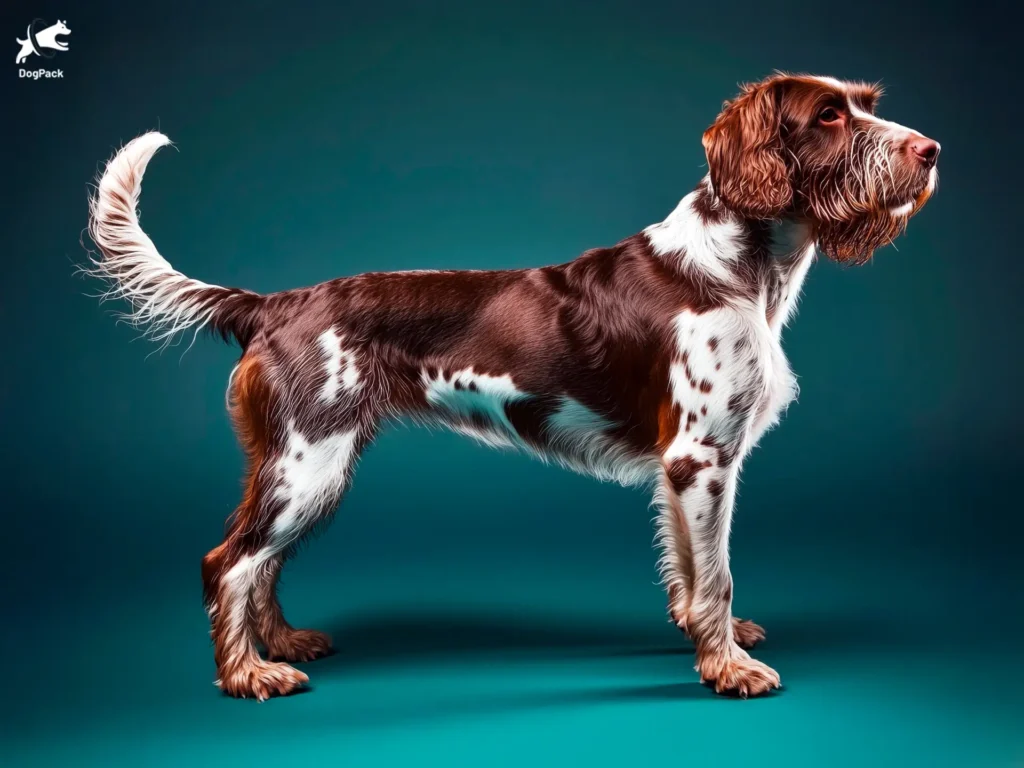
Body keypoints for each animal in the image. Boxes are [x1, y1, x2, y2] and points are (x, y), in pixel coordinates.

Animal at [86, 75, 937, 700]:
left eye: (868, 102)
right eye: (828, 114)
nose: (930, 150)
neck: (737, 266)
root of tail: (275, 304)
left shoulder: (685, 468)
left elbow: (691, 571)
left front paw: (710, 643)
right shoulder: (701, 457)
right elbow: (716, 576)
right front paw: (729, 669)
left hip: (305, 463)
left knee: (261, 560)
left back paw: (285, 643)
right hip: (309, 462)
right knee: (227, 560)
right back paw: (248, 675)